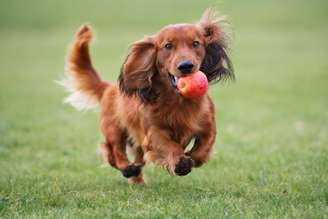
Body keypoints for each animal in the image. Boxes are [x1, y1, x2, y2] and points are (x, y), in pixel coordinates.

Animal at [60, 8, 234, 183]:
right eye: (168, 46)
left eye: (196, 43)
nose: (186, 66)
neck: (179, 102)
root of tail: (108, 87)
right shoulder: (153, 133)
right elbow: (170, 145)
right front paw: (181, 162)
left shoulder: (208, 127)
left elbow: (202, 150)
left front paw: (190, 157)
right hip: (114, 129)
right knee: (113, 152)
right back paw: (127, 168)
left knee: (135, 157)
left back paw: (137, 177)